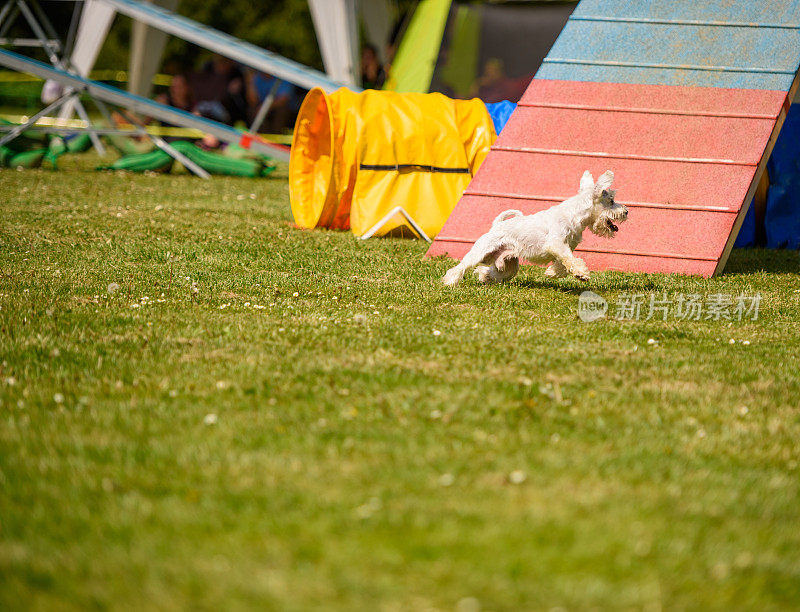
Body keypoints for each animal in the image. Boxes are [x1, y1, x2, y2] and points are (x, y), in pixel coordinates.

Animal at [444, 170, 624, 286]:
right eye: (611, 201)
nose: (626, 211)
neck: (574, 215)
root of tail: (496, 226)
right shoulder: (556, 244)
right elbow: (572, 260)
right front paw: (582, 274)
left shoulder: (565, 247)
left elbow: (564, 263)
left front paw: (552, 272)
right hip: (480, 252)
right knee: (461, 267)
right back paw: (449, 282)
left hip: (509, 264)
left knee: (489, 271)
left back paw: (484, 277)